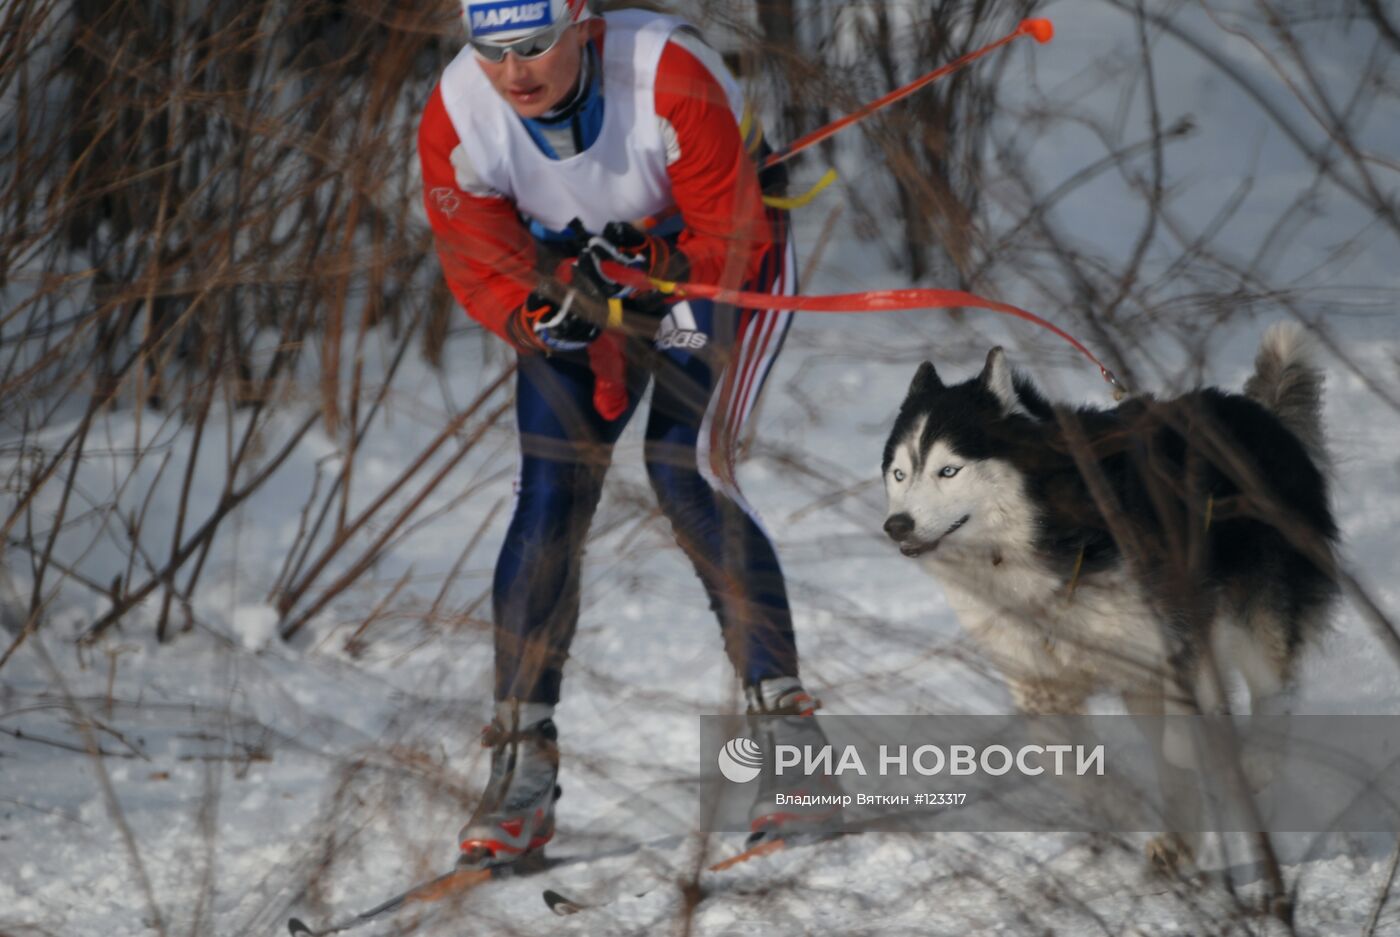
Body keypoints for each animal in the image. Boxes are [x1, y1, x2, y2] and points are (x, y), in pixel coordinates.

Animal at [884, 323, 1332, 868]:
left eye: (949, 471)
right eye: (899, 473)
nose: (896, 524)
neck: (1029, 546)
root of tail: (1257, 412)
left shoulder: (1176, 636)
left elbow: (1183, 744)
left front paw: (1215, 764)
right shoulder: (1040, 682)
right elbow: (1064, 764)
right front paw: (1125, 809)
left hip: (1254, 615)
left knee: (1275, 688)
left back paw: (1258, 765)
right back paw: (1180, 839)